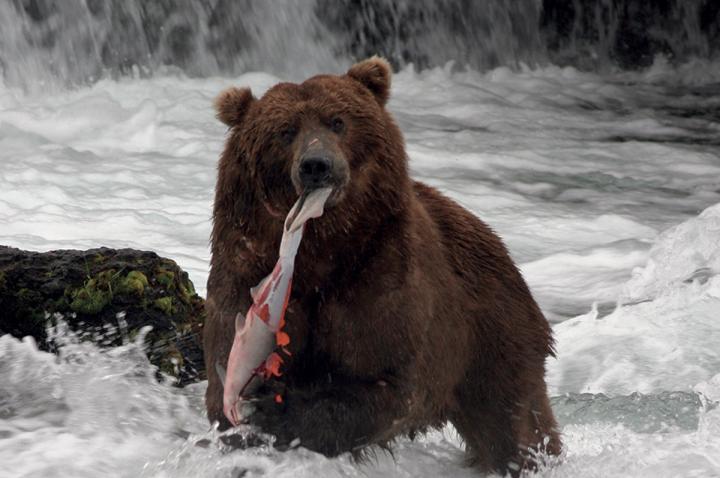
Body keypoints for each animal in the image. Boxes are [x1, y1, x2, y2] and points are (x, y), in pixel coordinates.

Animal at [204, 56, 564, 474]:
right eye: (285, 131)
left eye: (337, 120)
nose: (316, 165)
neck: (321, 250)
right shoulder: (245, 264)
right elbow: (224, 366)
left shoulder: (380, 272)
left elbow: (387, 377)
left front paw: (277, 412)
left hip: (493, 333)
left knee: (513, 420)